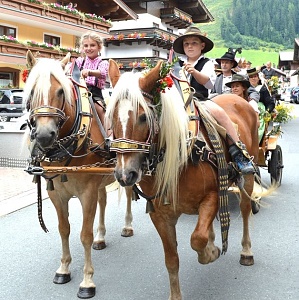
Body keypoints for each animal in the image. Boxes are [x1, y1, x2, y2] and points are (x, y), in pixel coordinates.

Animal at [24, 50, 134, 298]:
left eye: (60, 91)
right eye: (32, 91)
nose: (44, 135)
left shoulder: (87, 192)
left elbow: (84, 234)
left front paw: (87, 281)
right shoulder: (56, 193)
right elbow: (64, 229)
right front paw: (64, 269)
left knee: (129, 195)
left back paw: (127, 226)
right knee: (103, 201)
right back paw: (101, 238)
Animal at [106, 59, 262, 300]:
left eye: (143, 117)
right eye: (110, 115)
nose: (125, 174)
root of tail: (238, 99)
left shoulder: (213, 195)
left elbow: (197, 238)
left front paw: (210, 252)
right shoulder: (161, 214)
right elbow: (172, 259)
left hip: (247, 178)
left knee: (245, 210)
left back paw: (246, 250)